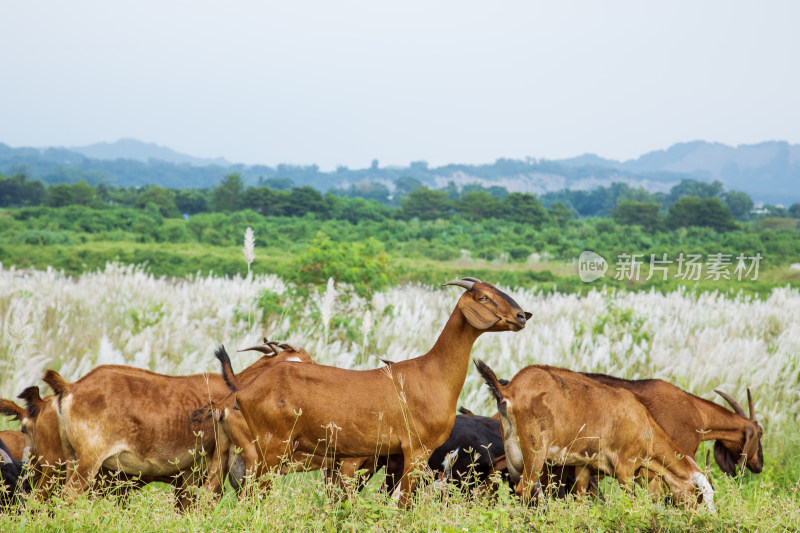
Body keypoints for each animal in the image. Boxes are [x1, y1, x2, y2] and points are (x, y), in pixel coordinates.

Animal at [478, 360, 716, 510]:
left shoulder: (584, 467)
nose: (703, 520)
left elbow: (582, 500)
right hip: (535, 453)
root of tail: (509, 390)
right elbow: (632, 502)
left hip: (514, 456)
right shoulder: (625, 468)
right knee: (524, 489)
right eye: (699, 495)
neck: (643, 422)